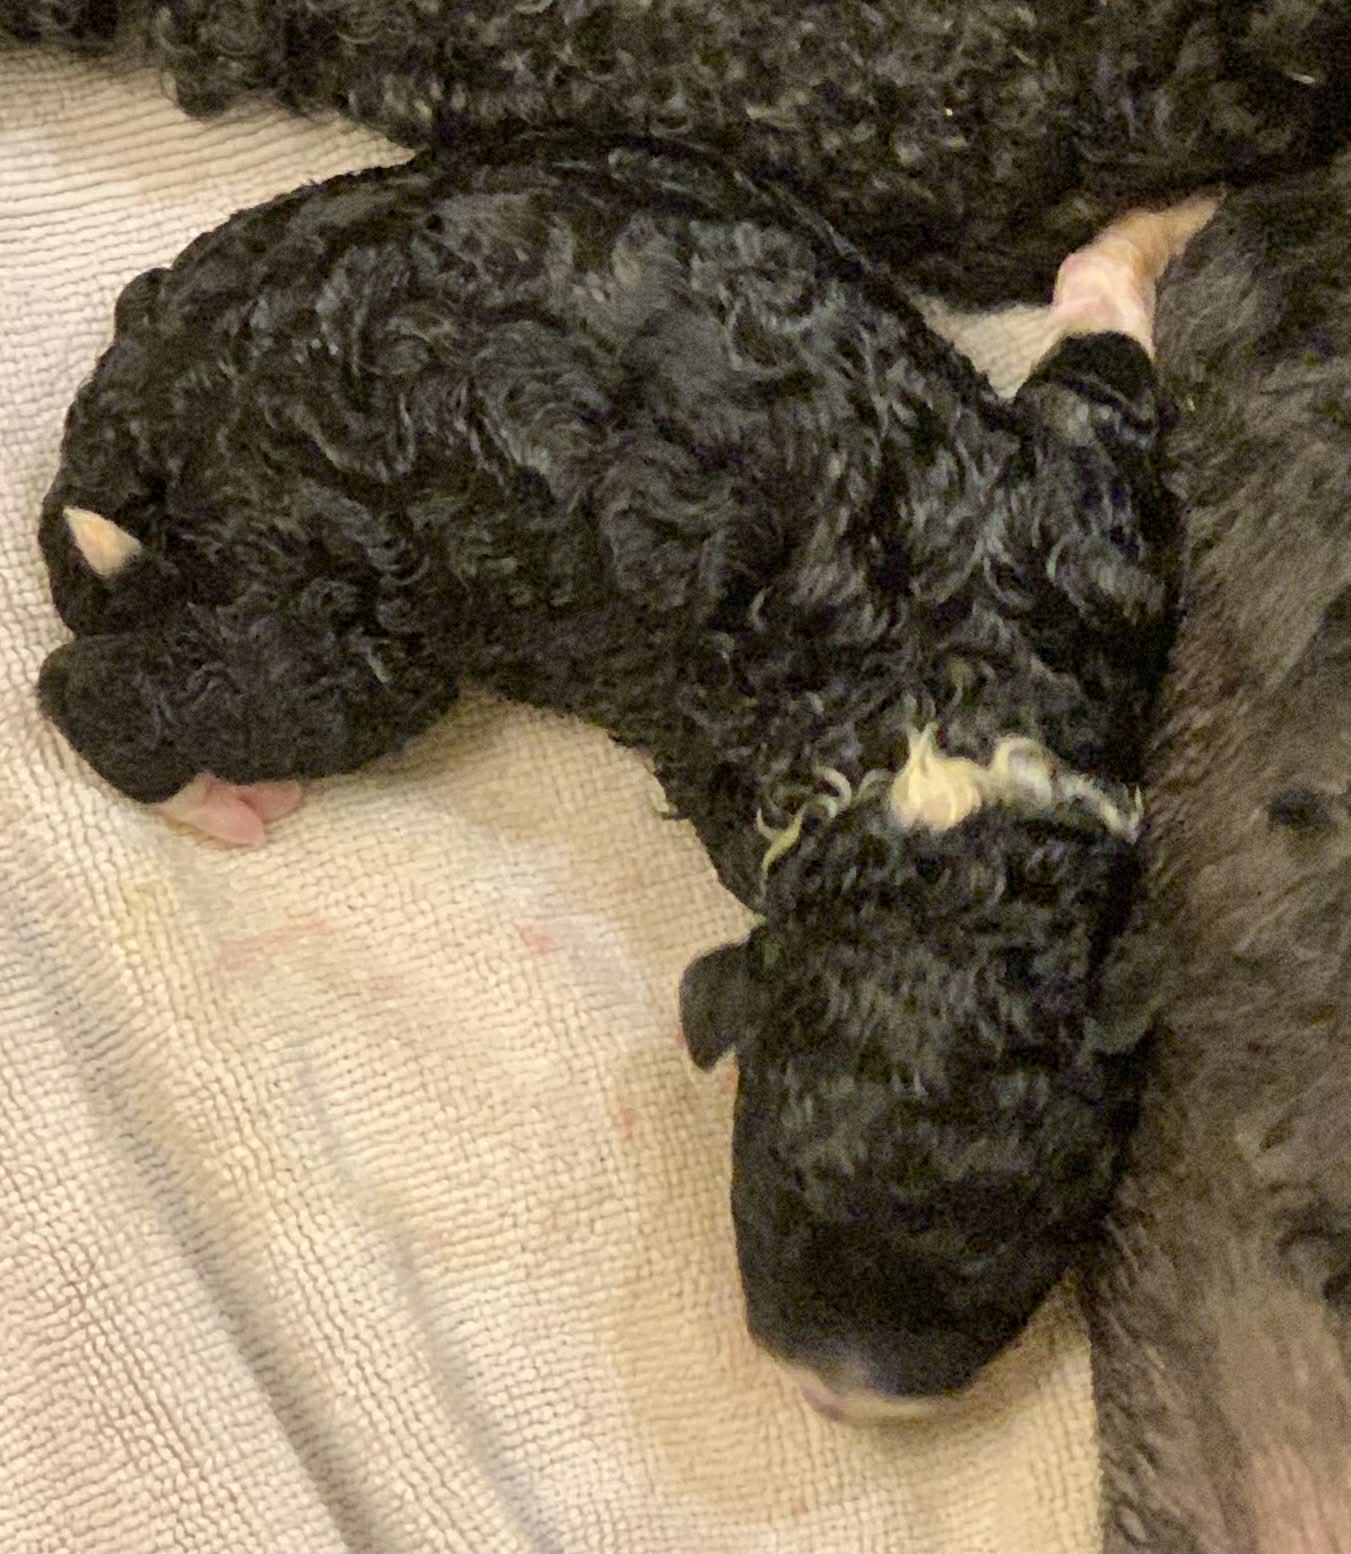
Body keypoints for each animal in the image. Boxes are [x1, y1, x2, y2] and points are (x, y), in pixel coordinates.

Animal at [34, 140, 1210, 1412]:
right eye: (755, 1194)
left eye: (1015, 1243)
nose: (838, 1396)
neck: (942, 749)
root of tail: (134, 406)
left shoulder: (1098, 538)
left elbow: (1099, 355)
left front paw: (1161, 223)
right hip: (332, 627)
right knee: (99, 686)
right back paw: (222, 800)